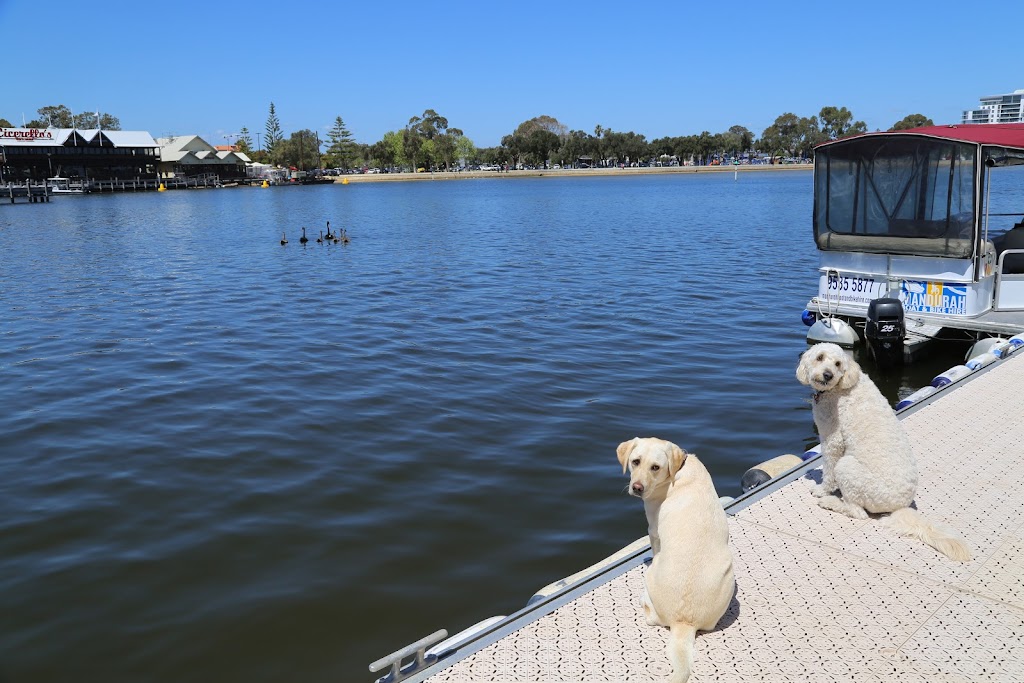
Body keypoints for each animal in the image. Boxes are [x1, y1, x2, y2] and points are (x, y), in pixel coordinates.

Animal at [614, 438, 737, 683]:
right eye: (635, 461)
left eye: (655, 467)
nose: (637, 488)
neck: (678, 469)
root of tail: (684, 623)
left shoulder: (653, 530)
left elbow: (654, 545)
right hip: (730, 577)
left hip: (650, 577)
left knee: (652, 617)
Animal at [794, 342, 970, 561]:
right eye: (820, 357)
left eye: (837, 364)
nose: (828, 375)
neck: (841, 386)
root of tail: (899, 506)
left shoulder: (832, 439)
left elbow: (828, 470)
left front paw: (821, 490)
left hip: (848, 468)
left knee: (857, 512)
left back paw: (830, 502)